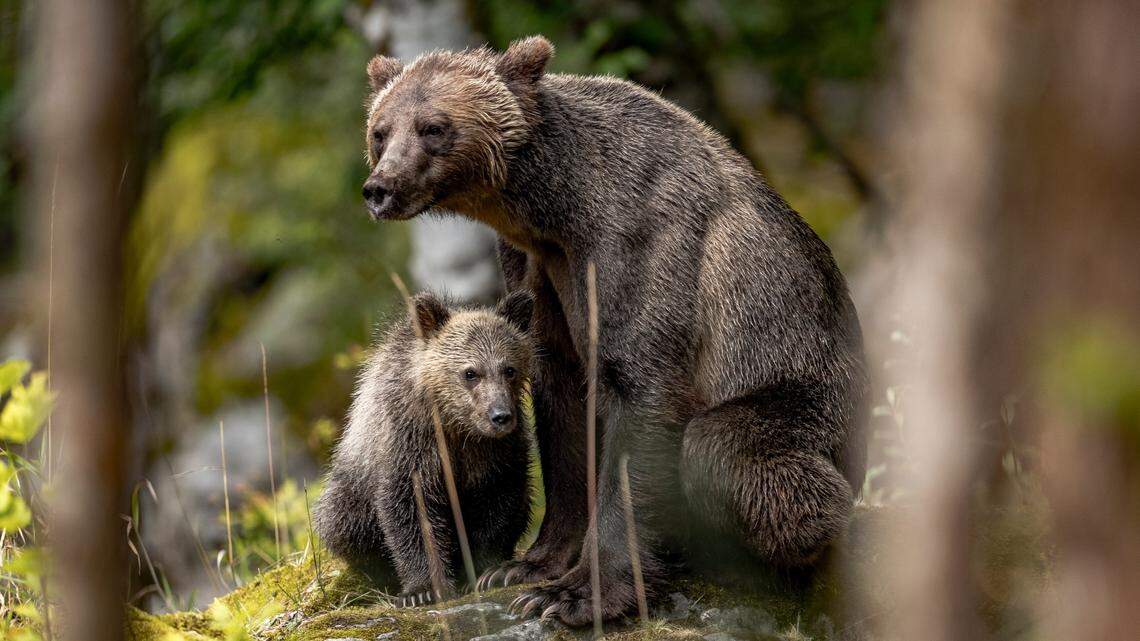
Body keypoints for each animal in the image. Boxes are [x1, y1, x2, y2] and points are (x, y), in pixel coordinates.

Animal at [314, 290, 536, 605]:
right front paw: (422, 589)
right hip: (351, 487)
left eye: (509, 369)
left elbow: (498, 504)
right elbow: (412, 512)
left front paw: (486, 571)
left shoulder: (497, 453)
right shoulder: (411, 445)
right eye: (471, 372)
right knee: (343, 524)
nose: (500, 416)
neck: (456, 426)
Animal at [358, 36, 868, 624]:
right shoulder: (538, 269)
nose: (379, 188)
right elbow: (563, 402)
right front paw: (527, 567)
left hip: (808, 399)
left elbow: (639, 394)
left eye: (433, 127)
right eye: (380, 130)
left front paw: (576, 595)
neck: (557, 211)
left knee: (726, 451)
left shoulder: (638, 248)